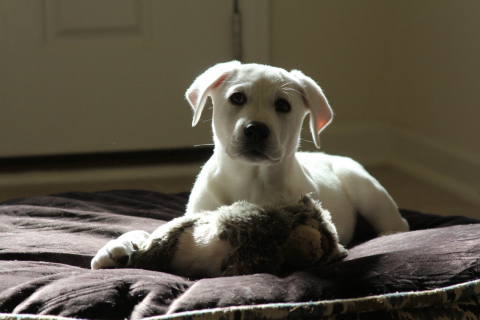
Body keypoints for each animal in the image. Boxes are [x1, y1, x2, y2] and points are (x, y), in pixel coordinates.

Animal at [91, 61, 408, 274]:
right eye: (237, 98)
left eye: (283, 105)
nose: (256, 129)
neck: (251, 180)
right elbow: (151, 232)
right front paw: (117, 247)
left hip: (367, 190)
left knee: (397, 221)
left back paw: (390, 233)